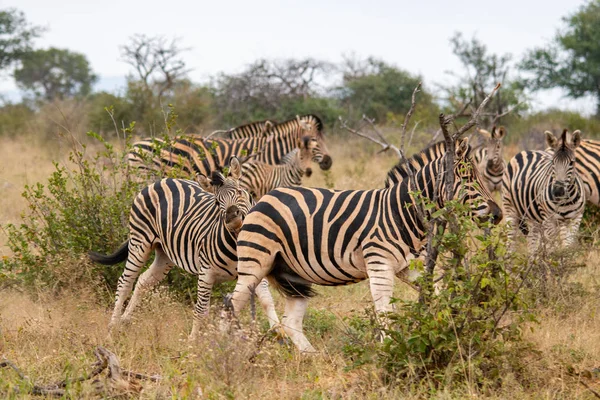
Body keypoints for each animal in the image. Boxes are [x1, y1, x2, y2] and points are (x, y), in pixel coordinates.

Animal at [88, 158, 280, 340]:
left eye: (240, 192)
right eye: (217, 202)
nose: (233, 218)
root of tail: (161, 180)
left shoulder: (255, 270)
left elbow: (266, 300)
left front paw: (278, 331)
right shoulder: (206, 272)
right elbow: (201, 310)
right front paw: (192, 343)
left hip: (165, 254)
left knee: (143, 281)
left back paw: (125, 321)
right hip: (139, 242)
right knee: (125, 283)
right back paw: (112, 330)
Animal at [225, 138, 502, 354]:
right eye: (467, 178)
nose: (498, 215)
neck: (401, 213)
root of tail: (262, 199)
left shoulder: (409, 266)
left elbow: (437, 290)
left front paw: (447, 325)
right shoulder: (379, 264)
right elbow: (384, 312)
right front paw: (389, 352)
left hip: (292, 274)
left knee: (290, 322)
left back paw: (314, 358)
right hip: (256, 262)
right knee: (231, 305)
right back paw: (220, 353)